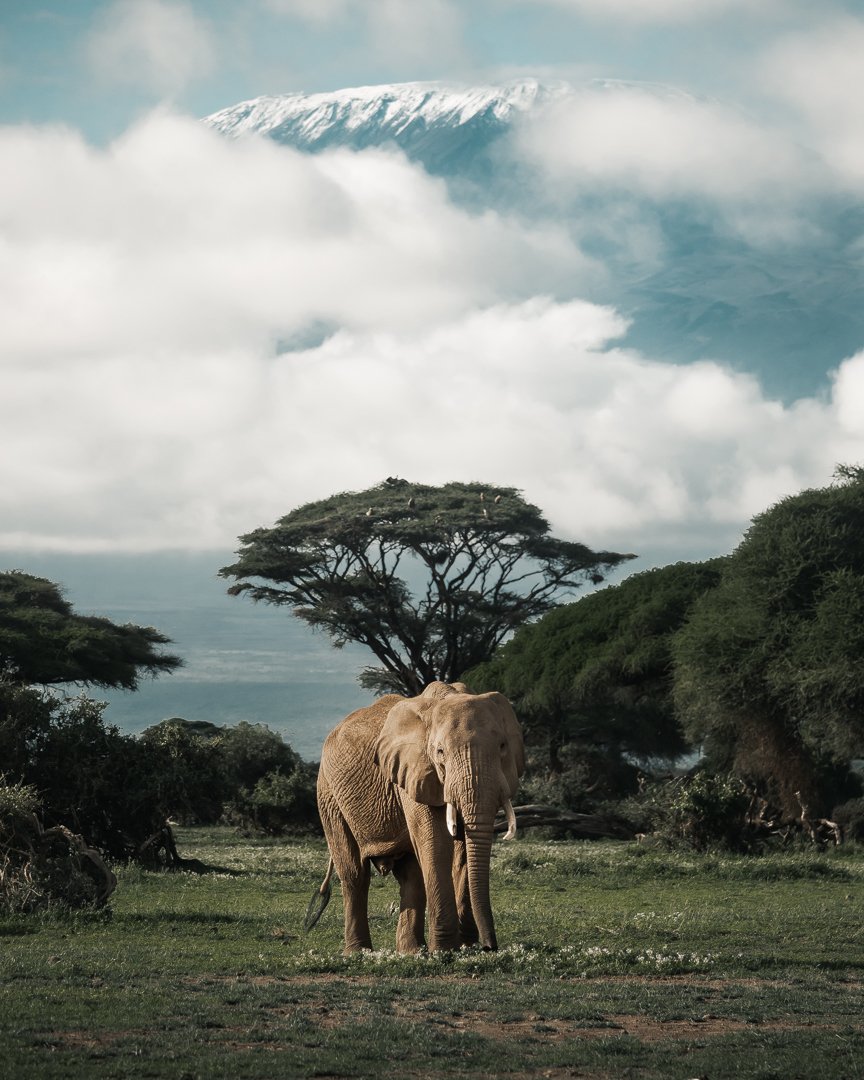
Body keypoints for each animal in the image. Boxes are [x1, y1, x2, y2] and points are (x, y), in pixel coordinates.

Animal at [309, 681, 524, 954]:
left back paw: (411, 951)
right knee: (354, 873)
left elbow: (461, 849)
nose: (488, 947)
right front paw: (445, 950)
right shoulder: (413, 772)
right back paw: (359, 952)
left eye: (503, 747)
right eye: (440, 752)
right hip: (329, 795)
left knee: (411, 875)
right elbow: (435, 842)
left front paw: (463, 946)